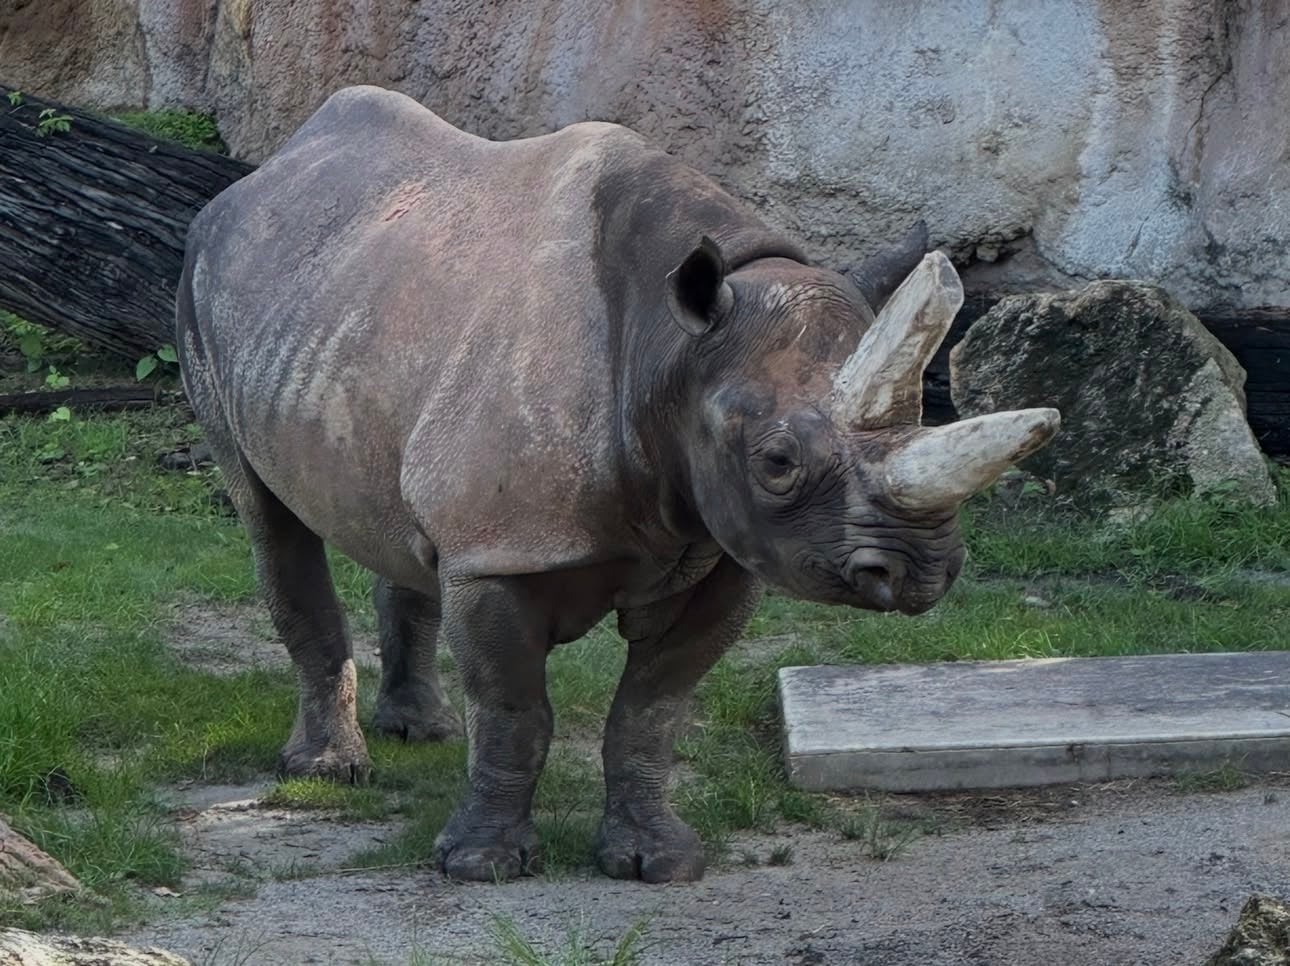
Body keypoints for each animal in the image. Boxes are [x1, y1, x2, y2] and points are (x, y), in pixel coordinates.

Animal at [177, 85, 1058, 883]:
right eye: (776, 462)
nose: (921, 573)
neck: (673, 347)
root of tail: (264, 175)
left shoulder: (716, 551)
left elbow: (651, 711)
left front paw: (655, 861)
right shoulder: (504, 552)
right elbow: (514, 711)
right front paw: (481, 865)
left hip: (353, 305)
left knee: (407, 527)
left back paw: (420, 730)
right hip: (202, 283)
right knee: (269, 517)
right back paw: (328, 771)